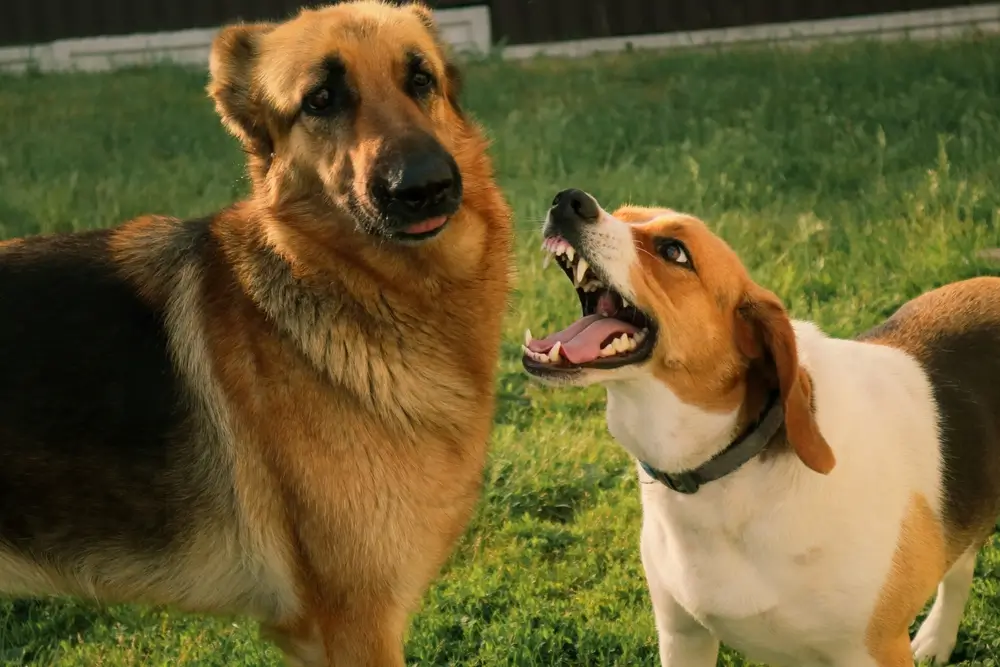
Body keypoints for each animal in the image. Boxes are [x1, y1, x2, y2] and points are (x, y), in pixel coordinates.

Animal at [524, 189, 1000, 667]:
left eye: (673, 251)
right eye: (623, 215)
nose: (569, 200)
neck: (730, 464)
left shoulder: (873, 651)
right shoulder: (683, 636)